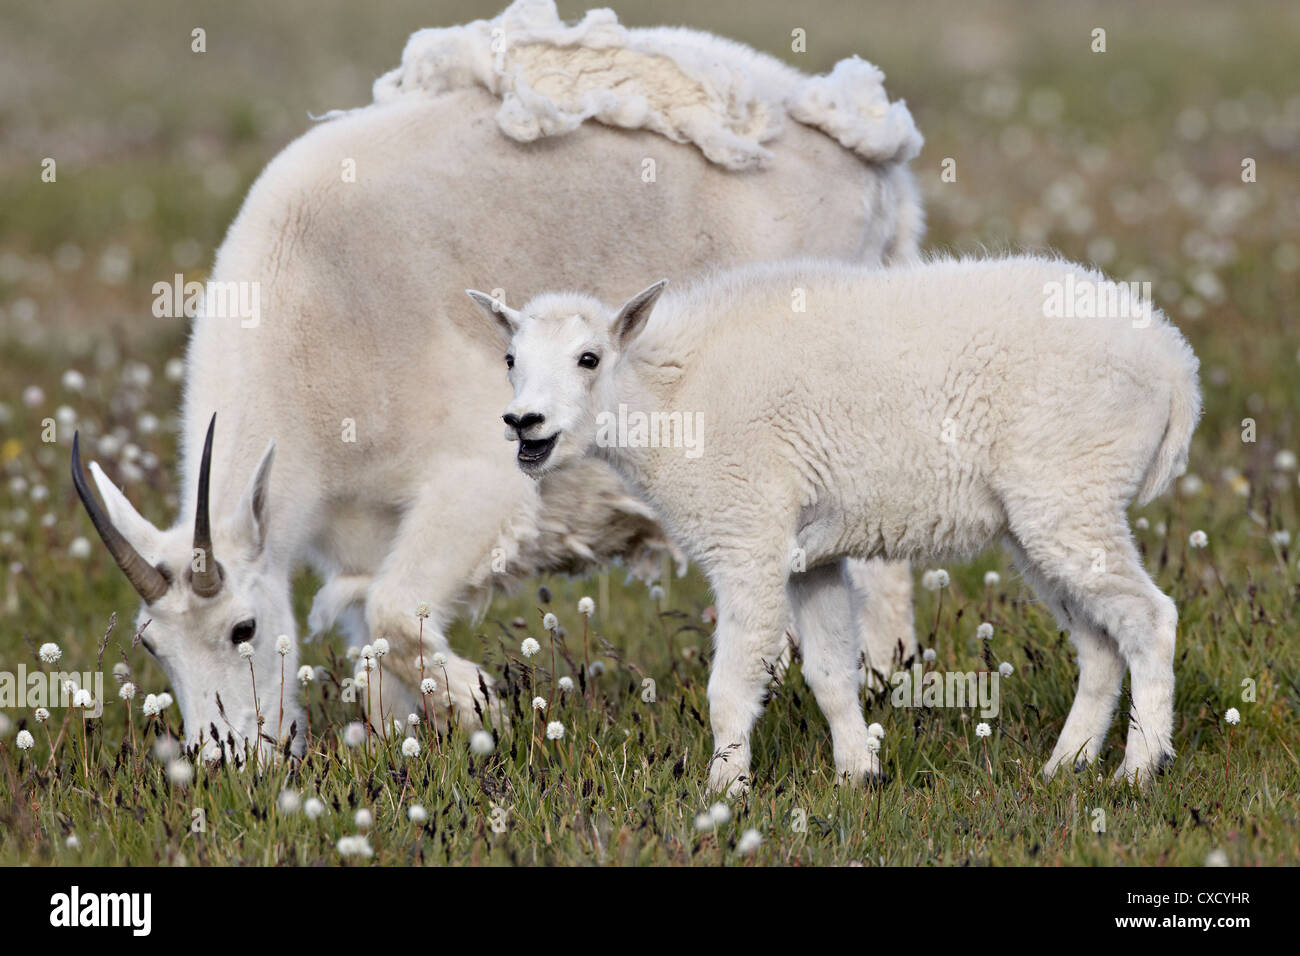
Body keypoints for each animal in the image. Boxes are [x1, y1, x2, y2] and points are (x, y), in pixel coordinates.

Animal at [68, 1, 925, 764]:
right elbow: (372, 640)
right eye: (153, 645)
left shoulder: (479, 480)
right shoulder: (365, 531)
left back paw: (879, 675)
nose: (229, 762)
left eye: (242, 630)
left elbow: (394, 612)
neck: (318, 320)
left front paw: (484, 707)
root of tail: (876, 162)